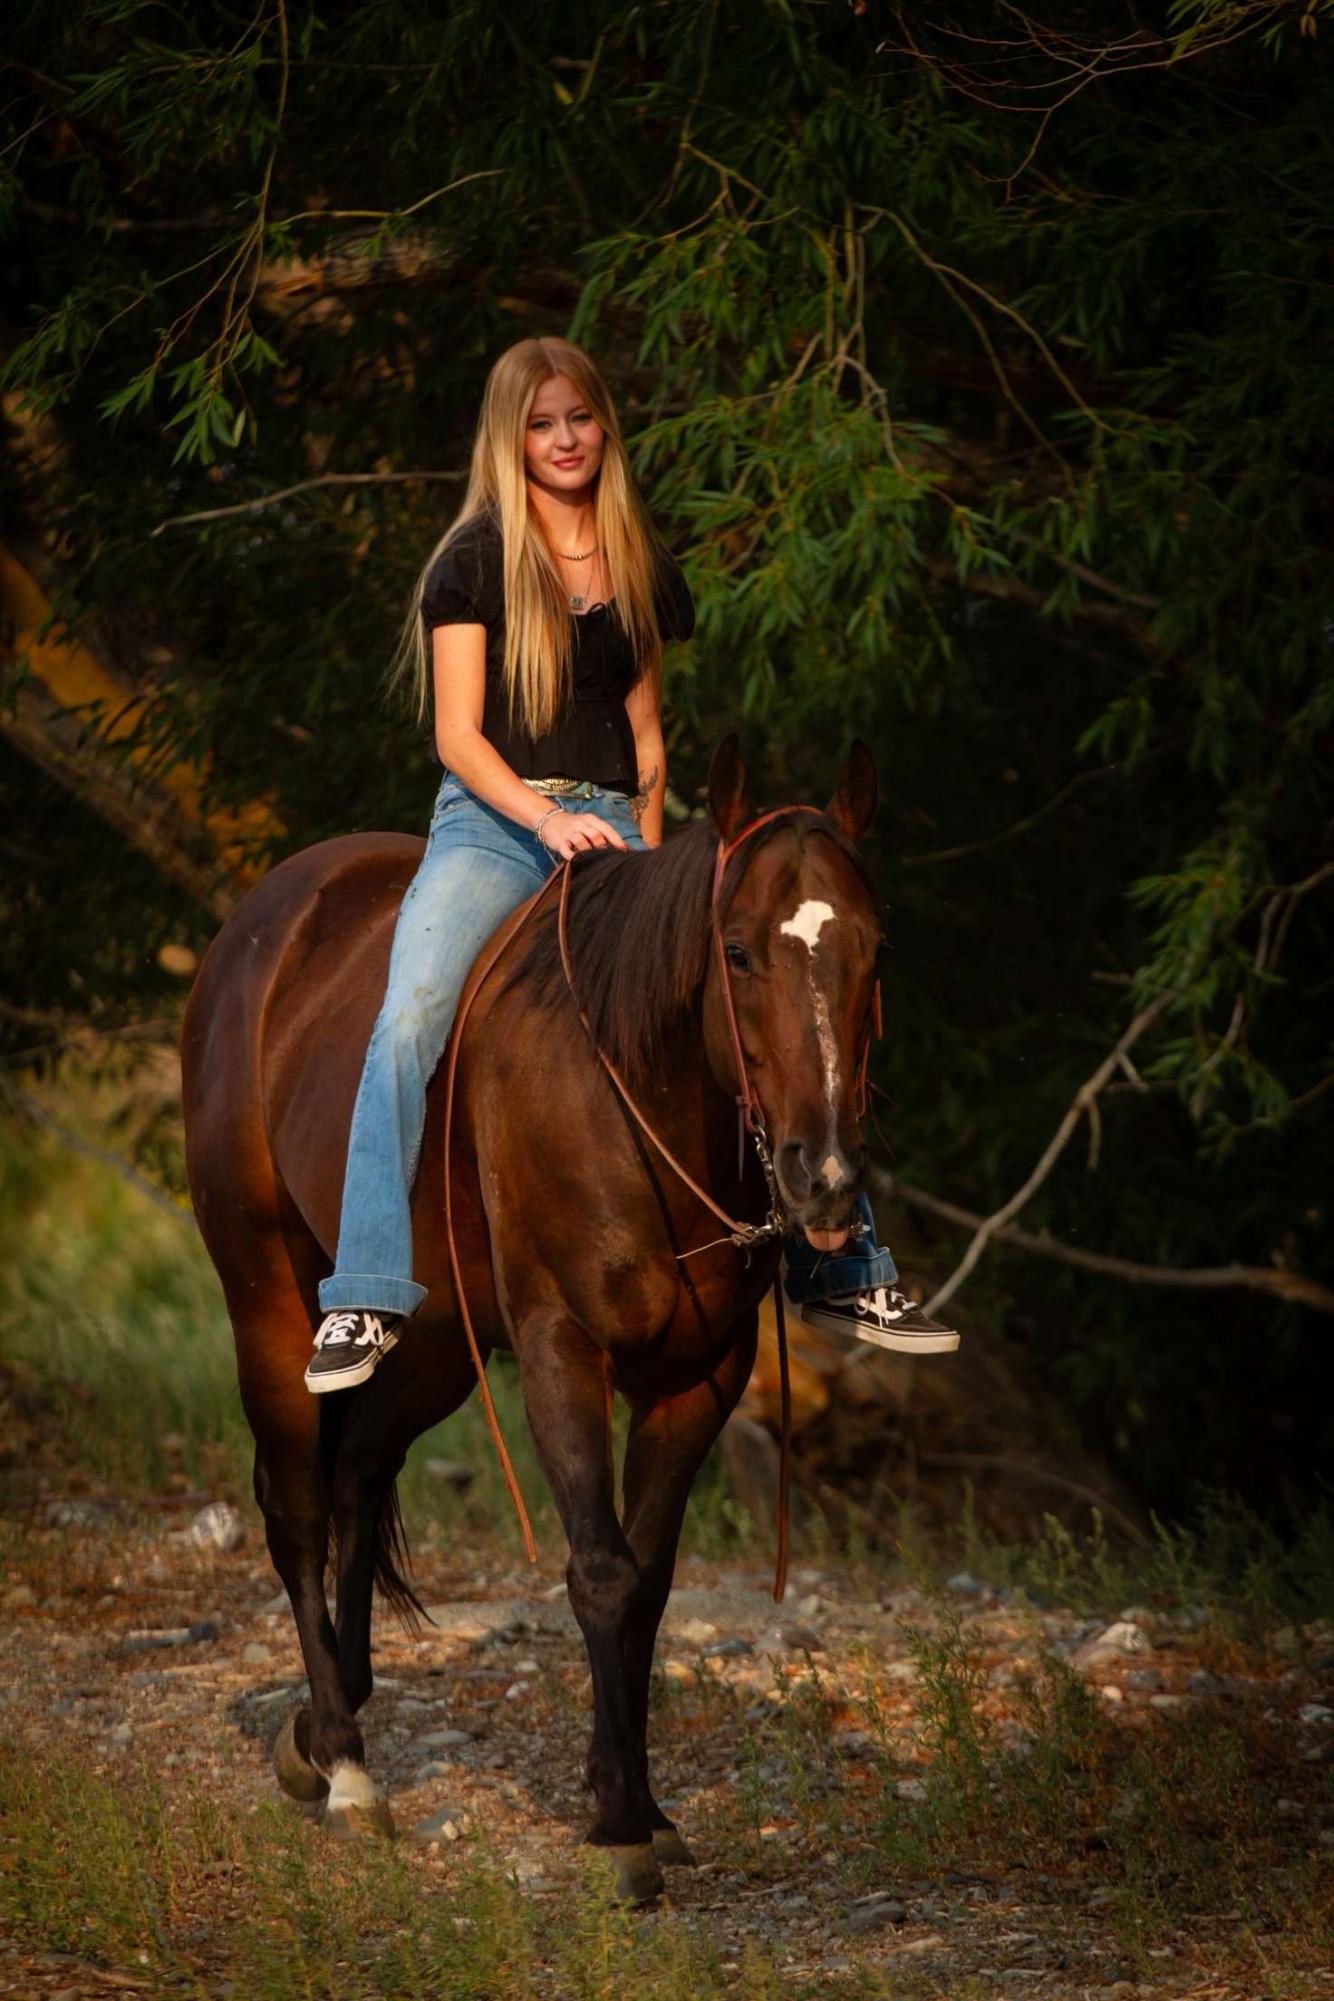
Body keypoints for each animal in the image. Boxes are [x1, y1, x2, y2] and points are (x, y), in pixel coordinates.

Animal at [181, 735, 881, 1902]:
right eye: (737, 952)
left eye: (872, 953)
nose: (821, 1179)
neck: (632, 1095)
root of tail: (260, 924)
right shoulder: (562, 1346)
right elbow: (598, 1570)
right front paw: (621, 1826)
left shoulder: (700, 1376)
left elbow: (647, 1584)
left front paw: (644, 1803)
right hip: (265, 1298)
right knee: (298, 1507)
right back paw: (345, 1764)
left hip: (431, 1343)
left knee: (359, 1475)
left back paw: (328, 1723)